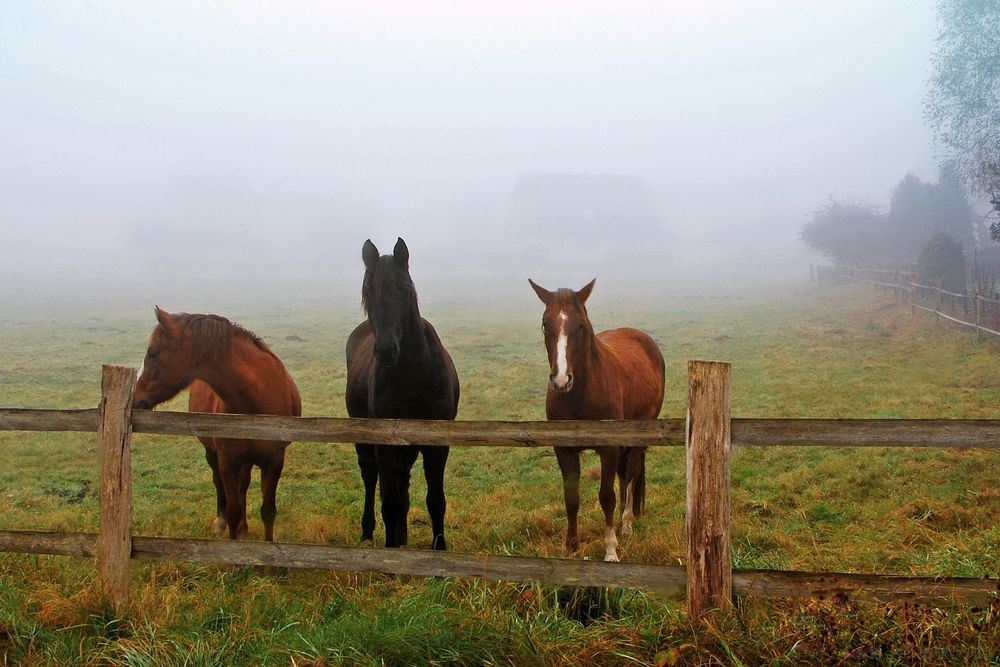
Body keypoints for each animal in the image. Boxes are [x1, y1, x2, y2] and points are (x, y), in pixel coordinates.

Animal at [132, 308, 300, 544]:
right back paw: (223, 523)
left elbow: (268, 510)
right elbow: (233, 511)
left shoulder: (275, 461)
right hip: (213, 453)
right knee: (220, 484)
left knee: (243, 485)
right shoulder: (227, 461)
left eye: (153, 354)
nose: (135, 397)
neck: (256, 399)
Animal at [342, 237, 456, 552]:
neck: (414, 376)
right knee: (371, 479)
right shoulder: (386, 444)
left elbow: (435, 500)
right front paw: (391, 549)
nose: (385, 351)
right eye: (368, 293)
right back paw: (369, 532)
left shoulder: (437, 444)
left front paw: (439, 547)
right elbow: (390, 502)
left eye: (405, 291)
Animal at [532, 280, 664, 564]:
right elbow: (571, 496)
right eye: (545, 323)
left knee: (631, 475)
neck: (580, 394)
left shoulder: (609, 447)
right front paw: (571, 545)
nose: (561, 380)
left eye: (580, 325)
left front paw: (611, 549)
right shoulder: (564, 450)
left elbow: (606, 496)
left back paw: (627, 523)